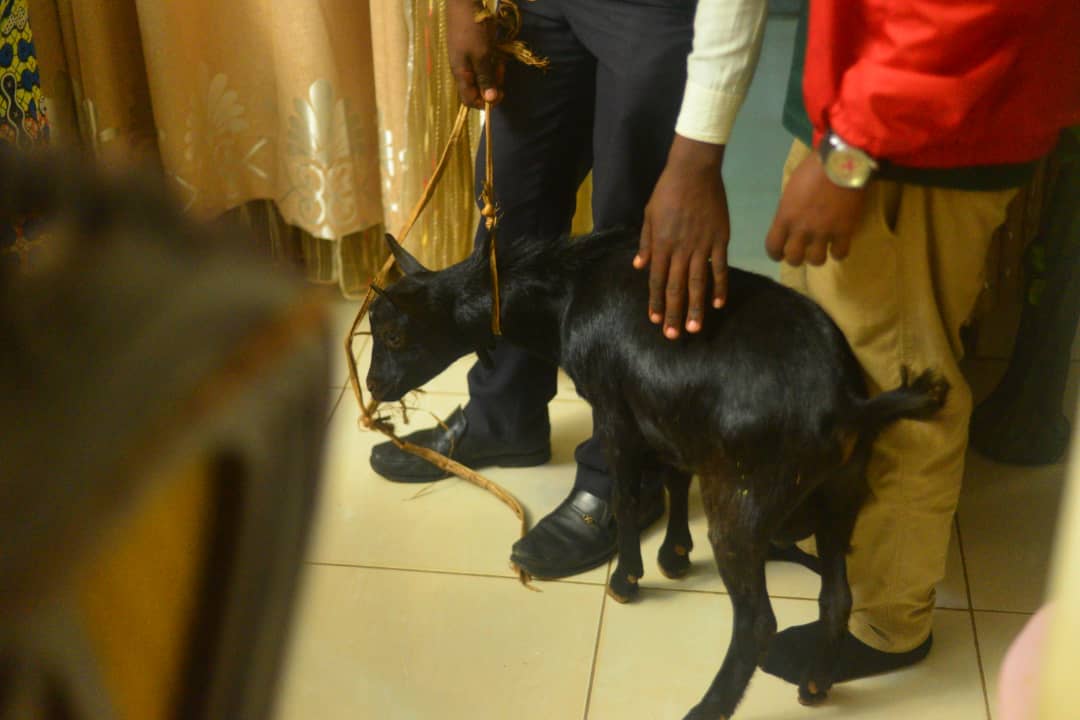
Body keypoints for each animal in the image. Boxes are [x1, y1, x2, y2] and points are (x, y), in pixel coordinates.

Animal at [364, 228, 948, 719]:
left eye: (393, 335)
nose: (372, 386)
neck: (567, 293)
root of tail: (846, 406)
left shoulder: (614, 412)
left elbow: (625, 497)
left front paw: (628, 578)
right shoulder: (666, 413)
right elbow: (674, 478)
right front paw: (677, 554)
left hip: (744, 496)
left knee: (757, 622)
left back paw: (707, 709)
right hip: (840, 492)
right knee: (837, 597)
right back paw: (815, 684)